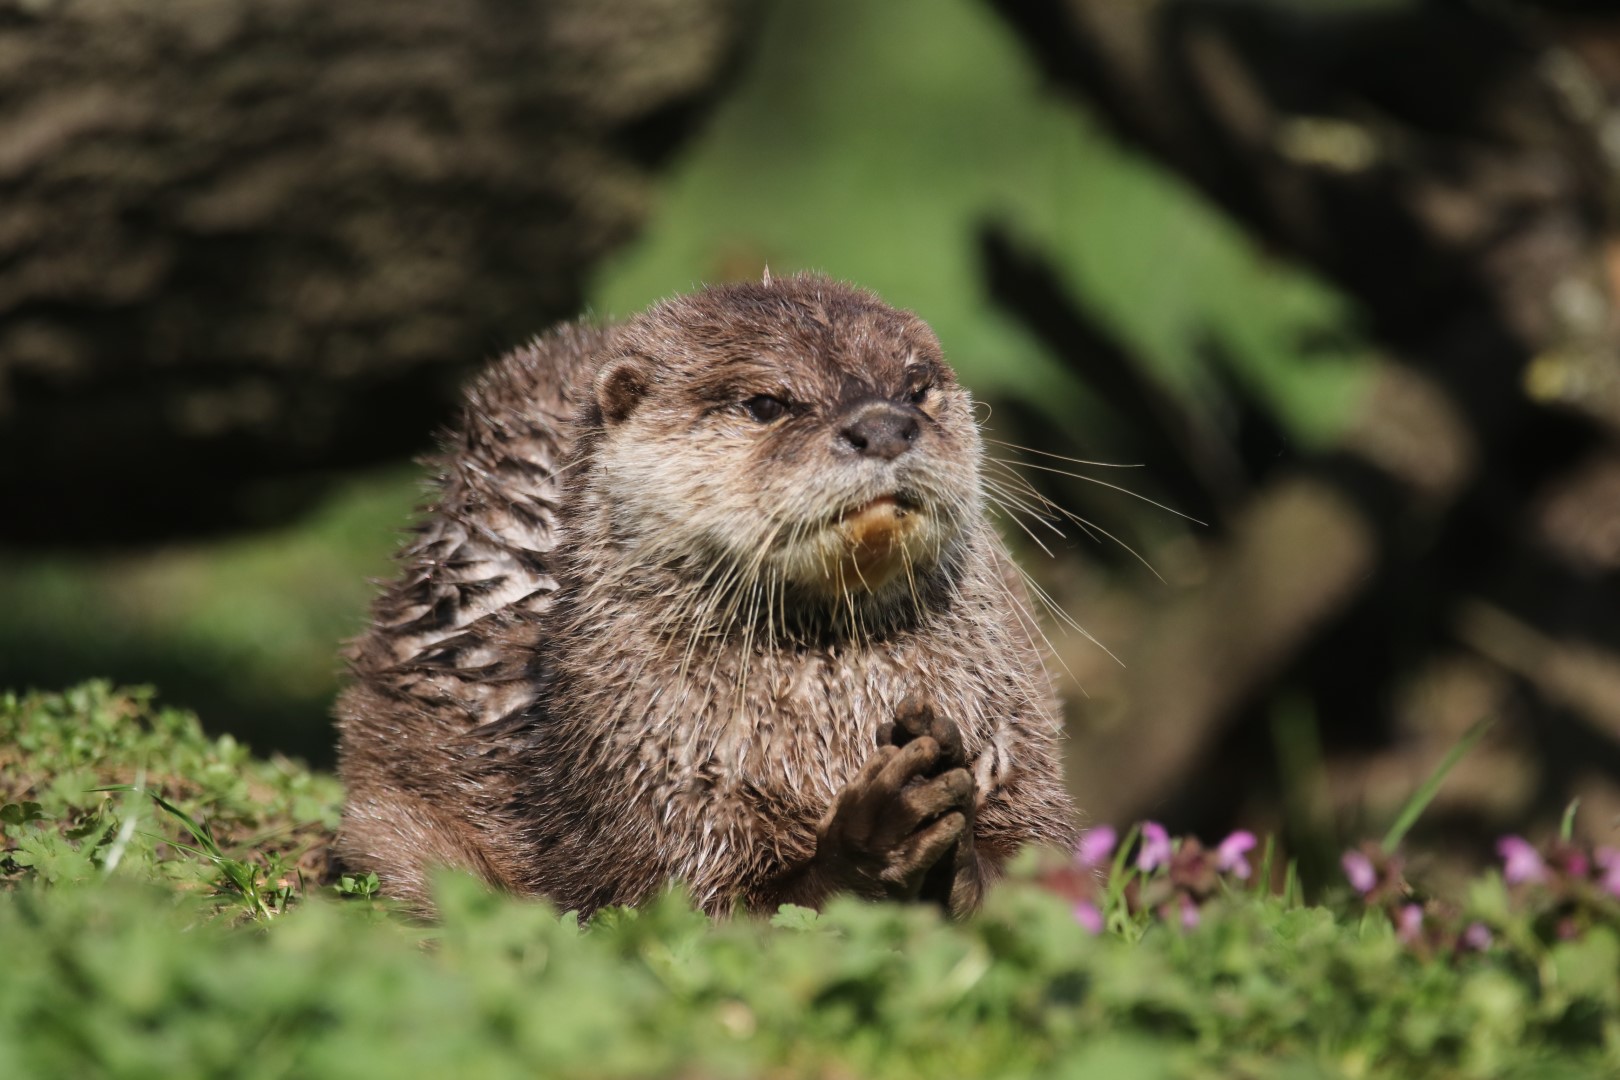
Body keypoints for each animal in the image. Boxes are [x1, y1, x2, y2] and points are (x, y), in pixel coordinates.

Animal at [336, 274, 1077, 917]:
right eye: (767, 404)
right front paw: (879, 833)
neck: (827, 733)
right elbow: (705, 909)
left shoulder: (1021, 738)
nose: (885, 424)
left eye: (918, 388)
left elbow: (1049, 870)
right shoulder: (642, 794)